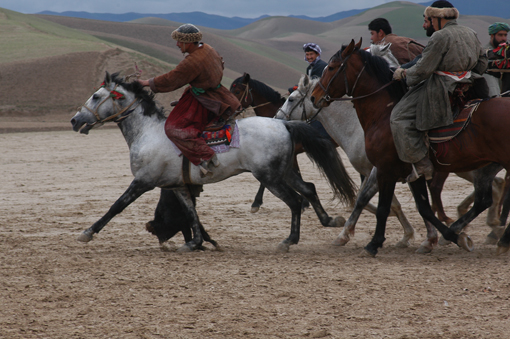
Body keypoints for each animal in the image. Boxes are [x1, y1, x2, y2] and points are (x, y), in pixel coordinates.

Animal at [69, 71, 354, 252]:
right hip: (284, 172)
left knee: (295, 201)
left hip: (270, 177)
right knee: (309, 189)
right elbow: (191, 213)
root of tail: (283, 123)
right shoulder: (178, 186)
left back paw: (289, 240)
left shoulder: (143, 182)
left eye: (96, 96)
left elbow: (116, 206)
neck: (148, 133)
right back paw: (330, 221)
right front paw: (195, 242)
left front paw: (88, 233)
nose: (74, 120)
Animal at [310, 39, 510, 258]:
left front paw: (374, 244)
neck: (383, 114)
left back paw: (501, 239)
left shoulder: (385, 169)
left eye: (331, 67)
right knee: (484, 199)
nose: (314, 96)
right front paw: (453, 238)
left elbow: (383, 207)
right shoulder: (414, 171)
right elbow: (423, 208)